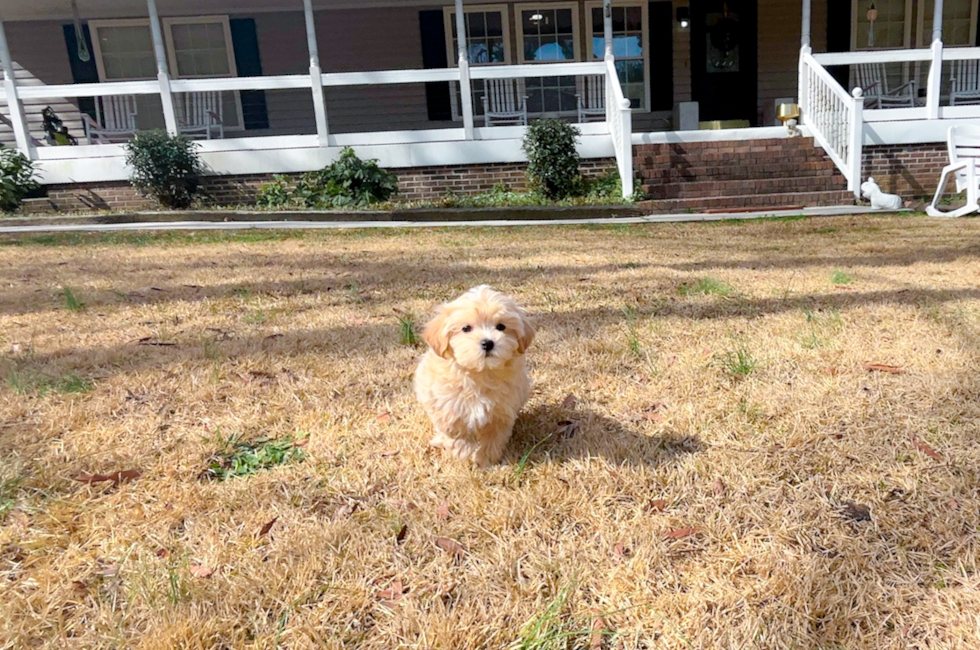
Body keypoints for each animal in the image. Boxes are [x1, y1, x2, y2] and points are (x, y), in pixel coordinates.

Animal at [414, 284, 536, 466]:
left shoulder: (501, 412)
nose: (488, 343)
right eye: (466, 328)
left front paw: (486, 459)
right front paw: (464, 455)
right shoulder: (450, 409)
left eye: (501, 326)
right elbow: (457, 434)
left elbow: (494, 437)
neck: (480, 373)